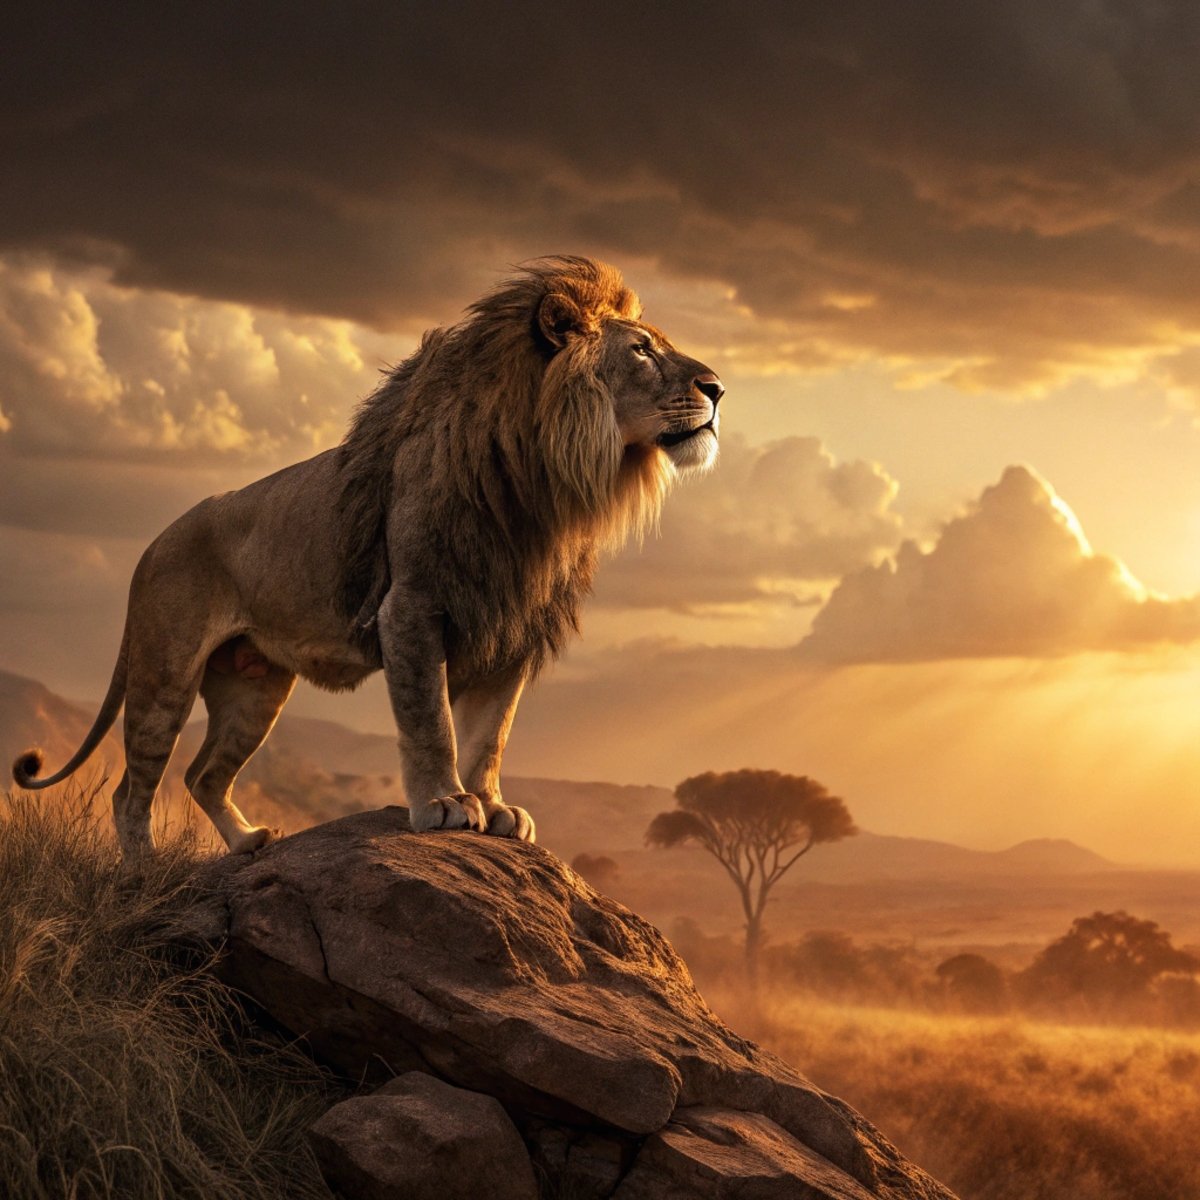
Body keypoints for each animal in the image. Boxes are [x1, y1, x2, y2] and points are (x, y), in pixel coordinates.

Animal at [12, 256, 723, 857]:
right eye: (641, 350)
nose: (718, 388)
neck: (543, 483)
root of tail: (151, 545)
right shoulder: (411, 605)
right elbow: (431, 720)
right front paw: (445, 805)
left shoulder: (512, 625)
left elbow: (491, 732)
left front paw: (494, 806)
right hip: (165, 672)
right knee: (131, 790)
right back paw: (144, 873)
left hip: (255, 687)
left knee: (203, 775)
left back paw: (247, 844)